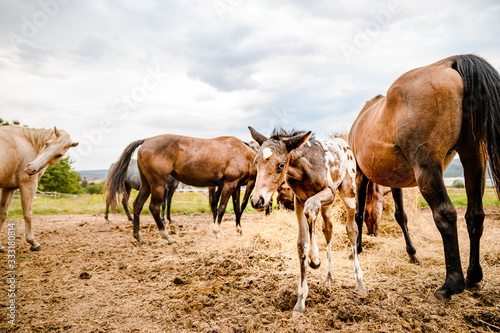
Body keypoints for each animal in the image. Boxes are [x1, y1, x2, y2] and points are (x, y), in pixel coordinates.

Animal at [103, 134, 256, 243]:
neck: (242, 152)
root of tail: (146, 140)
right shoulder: (229, 184)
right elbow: (222, 208)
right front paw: (217, 232)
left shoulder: (236, 186)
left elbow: (237, 208)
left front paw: (239, 231)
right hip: (157, 185)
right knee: (154, 207)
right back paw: (167, 236)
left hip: (146, 185)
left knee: (137, 205)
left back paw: (138, 237)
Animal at [248, 126, 366, 316]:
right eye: (256, 161)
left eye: (281, 165)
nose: (257, 200)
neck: (304, 169)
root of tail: (343, 143)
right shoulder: (299, 201)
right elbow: (302, 243)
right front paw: (300, 301)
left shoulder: (329, 192)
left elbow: (311, 210)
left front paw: (314, 258)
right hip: (327, 206)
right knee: (328, 228)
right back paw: (329, 276)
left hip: (348, 192)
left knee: (351, 229)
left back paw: (359, 282)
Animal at [348, 53, 500, 298]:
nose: (374, 233)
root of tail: (451, 62)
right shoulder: (394, 179)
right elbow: (401, 215)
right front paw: (412, 254)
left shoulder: (361, 175)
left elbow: (359, 213)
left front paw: (357, 249)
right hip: (474, 158)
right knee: (475, 214)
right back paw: (473, 276)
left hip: (427, 168)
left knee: (445, 213)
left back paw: (452, 284)